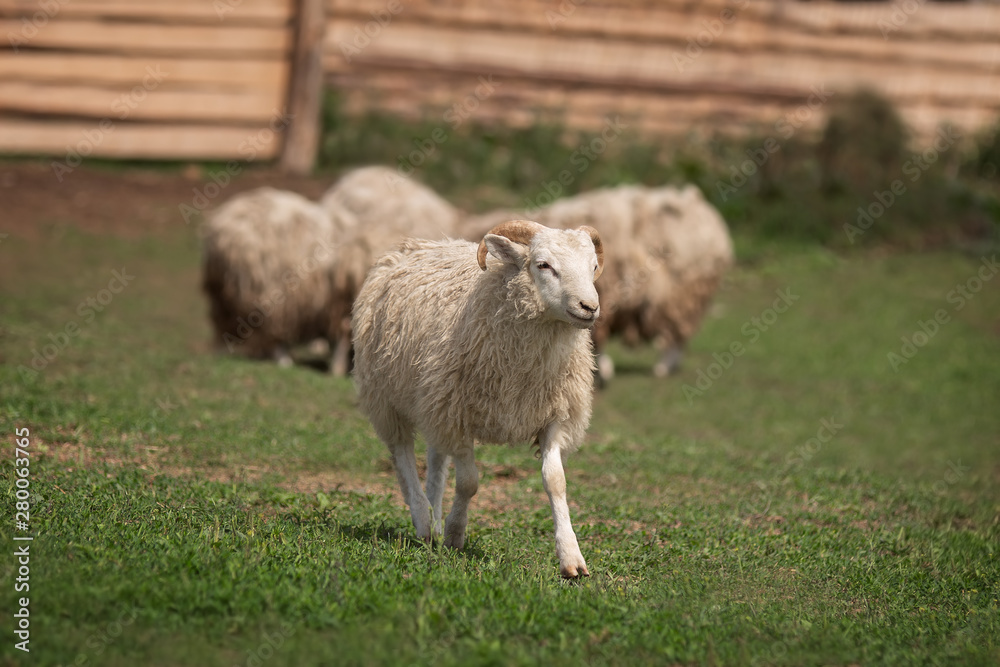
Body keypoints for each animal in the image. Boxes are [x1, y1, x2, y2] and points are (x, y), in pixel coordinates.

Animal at [352, 220, 604, 578]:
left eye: (593, 266)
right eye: (543, 265)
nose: (589, 307)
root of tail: (415, 244)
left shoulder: (555, 415)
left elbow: (556, 481)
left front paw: (571, 558)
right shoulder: (457, 414)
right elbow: (469, 482)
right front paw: (455, 534)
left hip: (431, 399)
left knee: (436, 460)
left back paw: (433, 518)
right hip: (387, 396)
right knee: (402, 453)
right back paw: (424, 521)